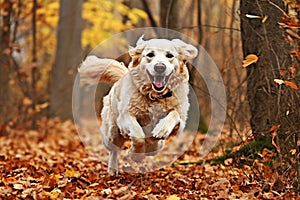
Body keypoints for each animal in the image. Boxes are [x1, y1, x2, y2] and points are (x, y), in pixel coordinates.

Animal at [78, 36, 198, 175]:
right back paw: (113, 169)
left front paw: (160, 130)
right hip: (112, 133)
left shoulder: (180, 122)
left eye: (170, 55)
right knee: (113, 150)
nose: (160, 67)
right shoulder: (125, 117)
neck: (155, 96)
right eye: (150, 55)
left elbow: (174, 115)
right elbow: (138, 134)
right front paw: (135, 154)